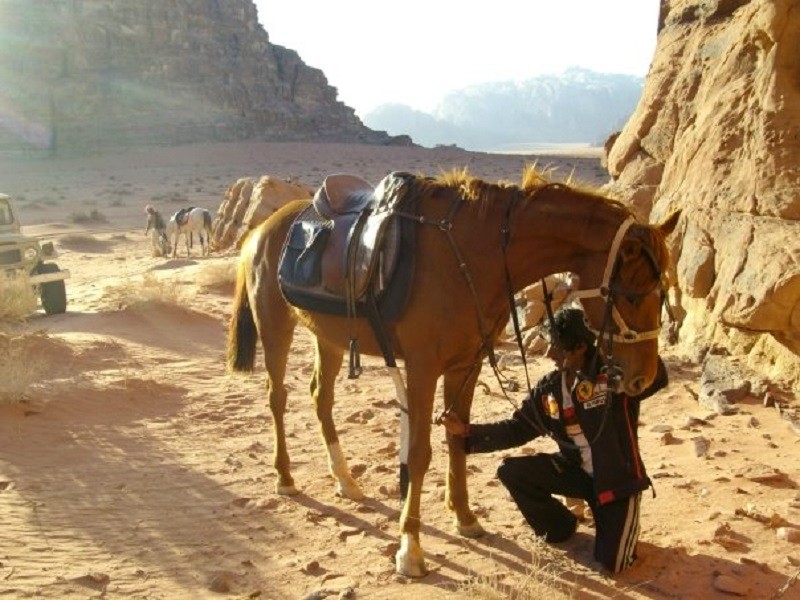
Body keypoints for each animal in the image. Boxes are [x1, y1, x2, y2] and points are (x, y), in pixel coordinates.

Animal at [227, 168, 680, 576]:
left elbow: (458, 438)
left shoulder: (466, 364)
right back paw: (285, 476)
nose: (643, 378)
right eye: (632, 293)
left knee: (321, 397)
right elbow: (418, 453)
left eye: (664, 291)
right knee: (277, 397)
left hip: (330, 338)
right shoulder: (422, 367)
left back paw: (346, 481)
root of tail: (264, 228)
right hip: (276, 327)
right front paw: (410, 549)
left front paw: (464, 518)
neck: (471, 255)